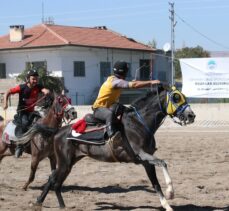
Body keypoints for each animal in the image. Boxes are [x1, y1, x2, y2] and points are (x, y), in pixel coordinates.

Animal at [35, 84, 195, 211]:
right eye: (176, 98)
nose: (191, 115)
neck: (138, 123)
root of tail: (58, 131)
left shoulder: (146, 162)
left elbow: (155, 183)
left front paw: (166, 205)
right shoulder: (141, 154)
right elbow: (163, 162)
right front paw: (171, 192)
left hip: (70, 162)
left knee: (52, 179)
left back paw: (40, 203)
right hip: (65, 162)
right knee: (55, 182)